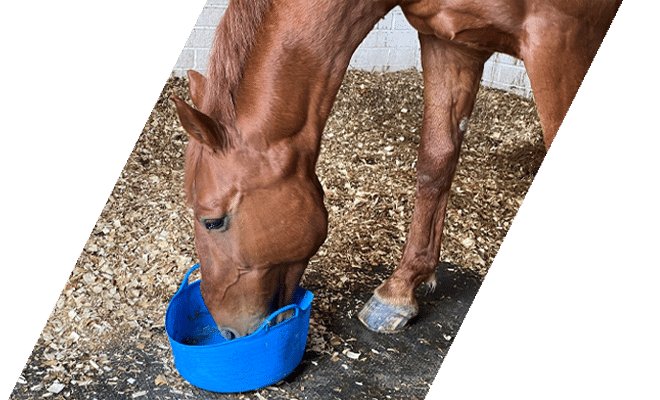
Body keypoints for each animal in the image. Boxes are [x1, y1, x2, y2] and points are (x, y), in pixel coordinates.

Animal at [170, 0, 621, 337]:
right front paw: (400, 291)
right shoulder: (449, 41)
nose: (227, 330)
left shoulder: (560, 38)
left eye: (212, 221)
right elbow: (435, 163)